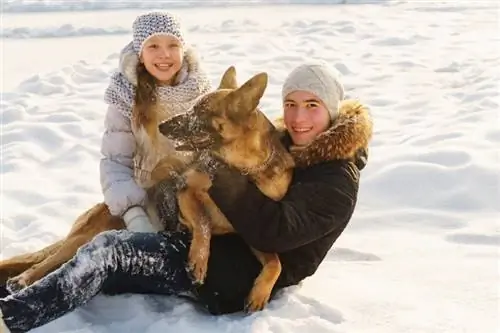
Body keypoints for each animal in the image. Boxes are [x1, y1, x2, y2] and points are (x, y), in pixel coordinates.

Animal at [158, 66, 294, 310]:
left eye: (201, 111)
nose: (161, 126)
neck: (244, 170)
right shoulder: (186, 190)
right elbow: (203, 222)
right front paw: (199, 260)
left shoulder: (255, 232)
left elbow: (275, 263)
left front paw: (259, 294)